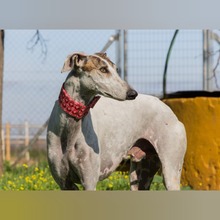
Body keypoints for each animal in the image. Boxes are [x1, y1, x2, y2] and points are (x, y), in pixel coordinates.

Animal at [46, 52, 187, 191]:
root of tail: (169, 110)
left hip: (170, 172)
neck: (70, 127)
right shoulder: (65, 184)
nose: (133, 93)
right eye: (103, 69)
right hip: (139, 177)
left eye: (116, 69)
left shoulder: (89, 182)